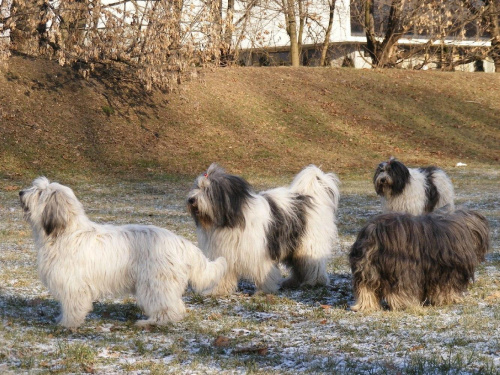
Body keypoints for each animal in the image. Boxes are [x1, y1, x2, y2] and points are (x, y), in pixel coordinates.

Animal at [19, 178, 227, 328]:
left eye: (39, 192)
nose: (20, 192)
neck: (65, 232)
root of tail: (180, 242)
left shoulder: (72, 283)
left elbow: (73, 305)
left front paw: (67, 324)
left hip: (155, 283)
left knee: (170, 307)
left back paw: (151, 322)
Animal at [187, 164, 340, 296]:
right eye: (197, 187)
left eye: (207, 190)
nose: (191, 200)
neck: (230, 220)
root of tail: (309, 197)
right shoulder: (224, 252)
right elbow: (223, 273)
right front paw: (217, 291)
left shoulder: (260, 252)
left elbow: (263, 272)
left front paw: (264, 291)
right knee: (298, 265)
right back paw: (292, 282)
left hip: (308, 243)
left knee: (312, 264)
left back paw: (315, 282)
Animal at [348, 209, 488, 312]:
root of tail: (372, 236)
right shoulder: (448, 272)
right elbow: (447, 288)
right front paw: (451, 300)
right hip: (402, 268)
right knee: (398, 290)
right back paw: (406, 304)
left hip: (365, 271)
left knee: (365, 288)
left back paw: (364, 306)